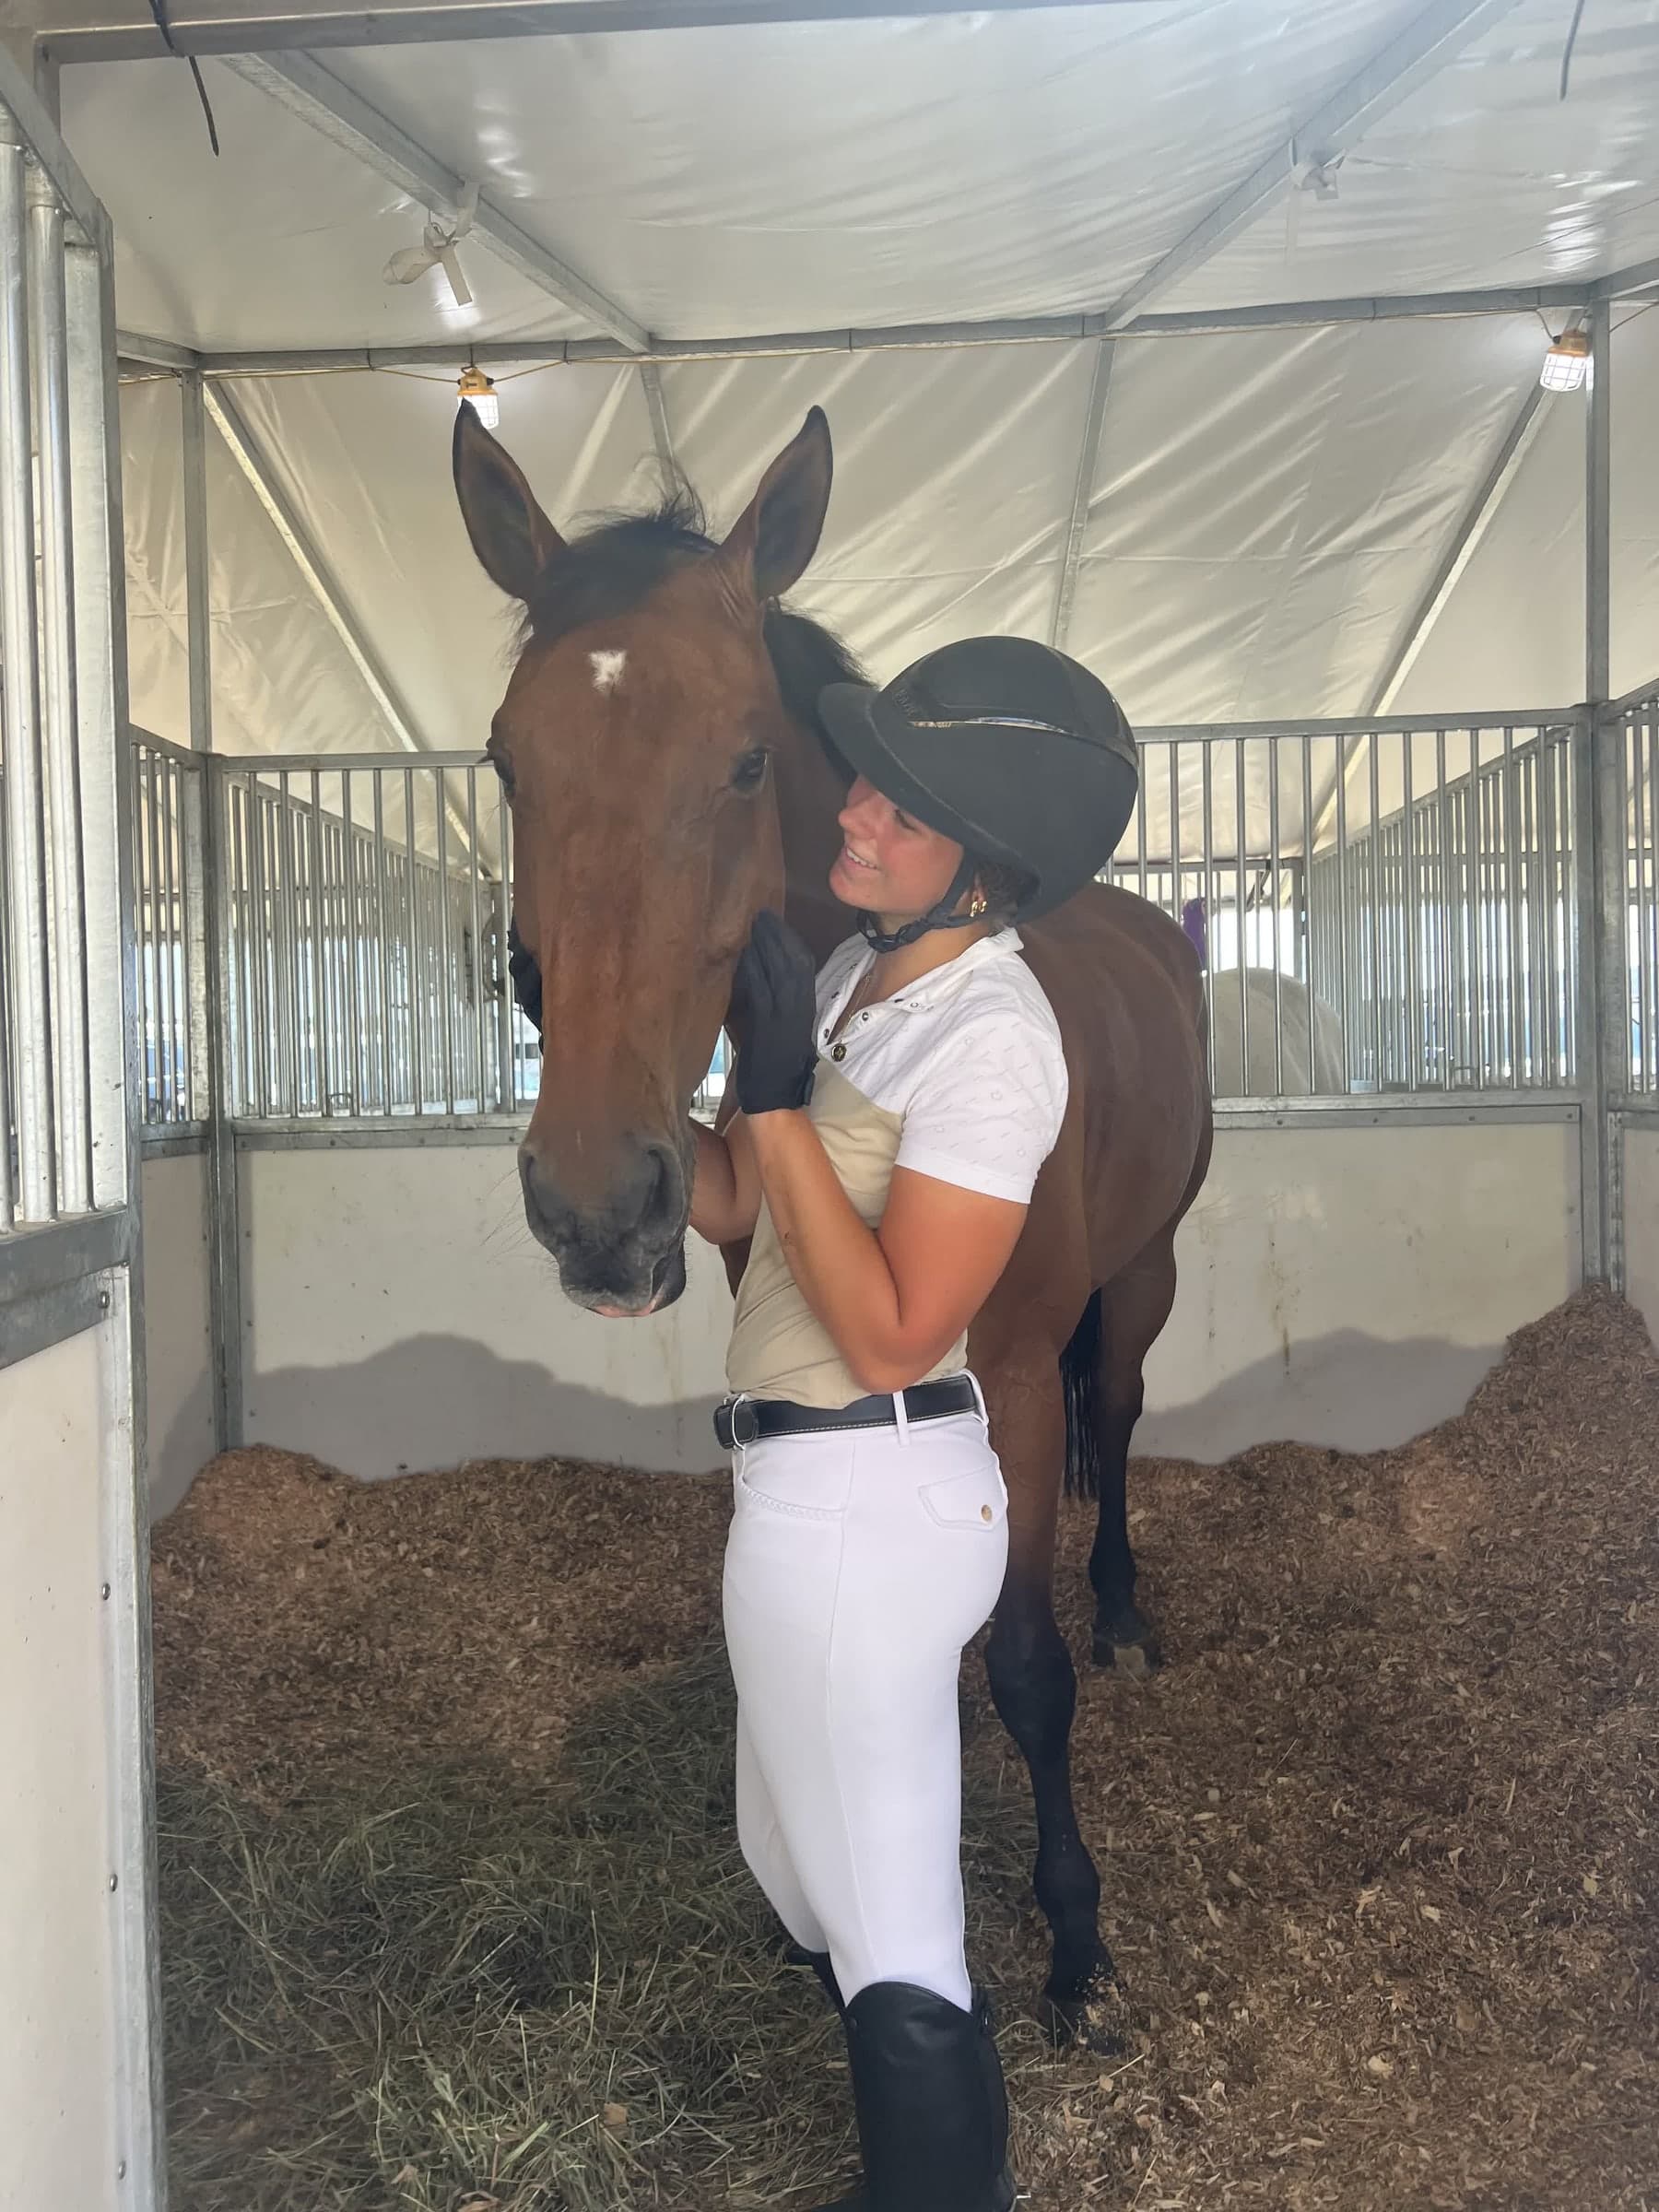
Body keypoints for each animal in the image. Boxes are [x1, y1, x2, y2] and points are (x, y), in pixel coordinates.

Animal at [452, 403, 1213, 2041]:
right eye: (505, 762)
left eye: (745, 761)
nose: (597, 1205)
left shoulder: (1008, 1368)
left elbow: (1030, 1667)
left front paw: (1074, 1937)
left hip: (1145, 1274)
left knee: (1118, 1418)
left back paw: (1125, 1613)